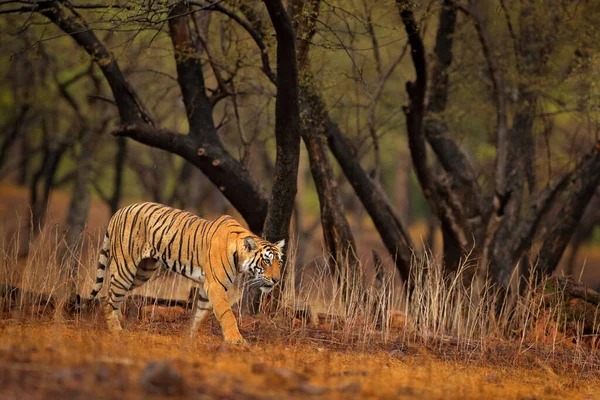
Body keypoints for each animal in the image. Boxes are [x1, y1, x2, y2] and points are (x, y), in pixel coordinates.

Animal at [81, 202, 284, 346]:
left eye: (279, 262)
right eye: (266, 261)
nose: (276, 280)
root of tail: (120, 210)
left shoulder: (207, 287)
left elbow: (201, 314)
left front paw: (191, 337)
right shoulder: (216, 285)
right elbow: (226, 314)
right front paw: (236, 340)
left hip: (142, 272)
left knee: (112, 295)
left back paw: (118, 322)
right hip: (126, 267)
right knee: (108, 298)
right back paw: (116, 330)